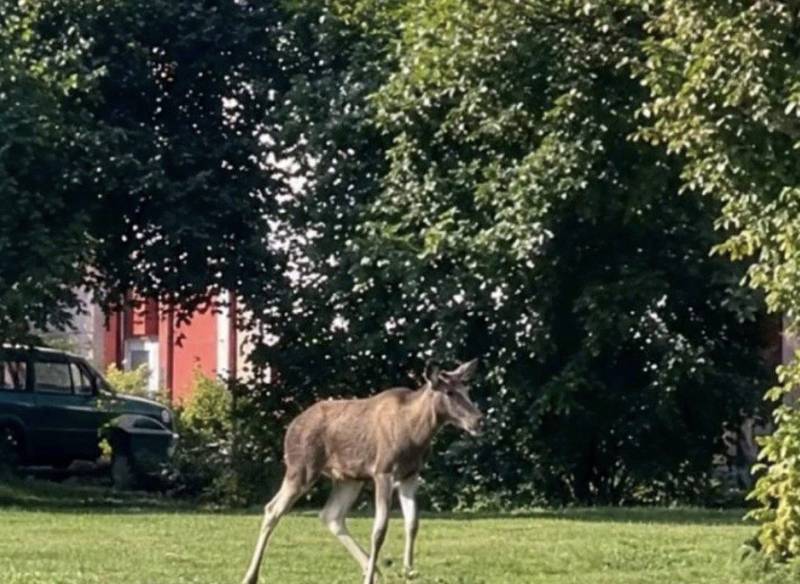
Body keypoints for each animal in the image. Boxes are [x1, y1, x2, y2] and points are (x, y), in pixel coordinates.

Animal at [241, 359, 483, 584]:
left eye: (467, 390)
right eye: (450, 392)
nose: (479, 420)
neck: (418, 434)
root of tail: (290, 427)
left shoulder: (410, 474)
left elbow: (412, 523)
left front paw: (408, 571)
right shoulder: (383, 471)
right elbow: (379, 530)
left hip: (348, 478)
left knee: (331, 515)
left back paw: (372, 569)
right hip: (301, 469)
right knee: (273, 509)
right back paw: (250, 575)